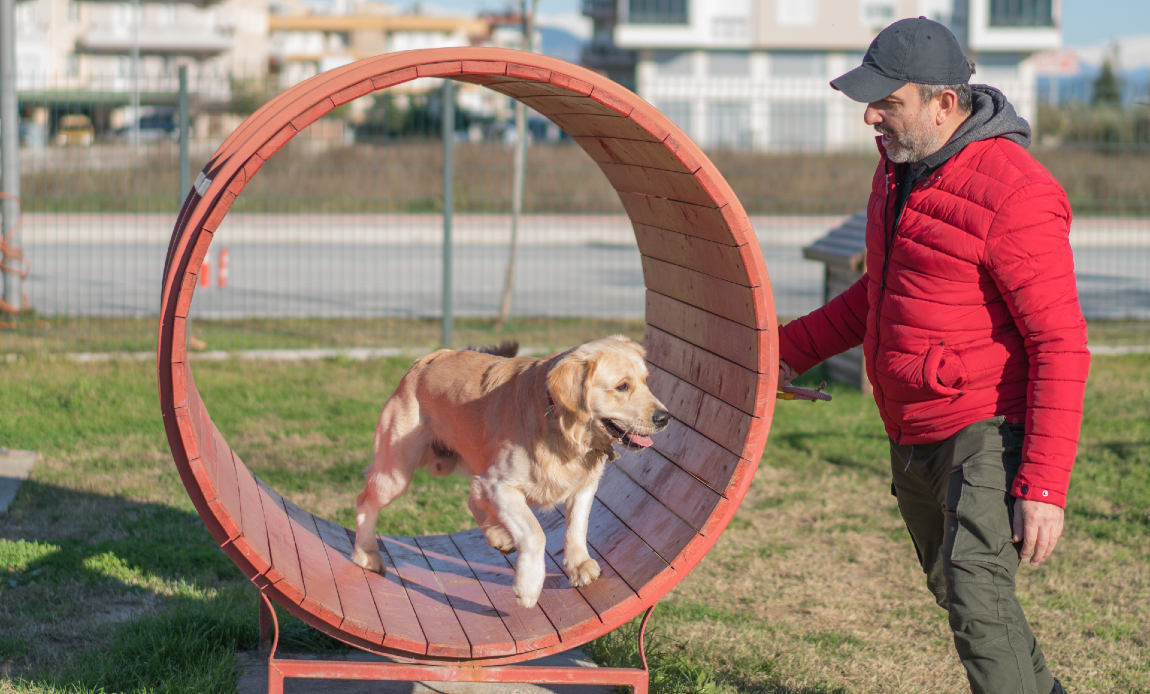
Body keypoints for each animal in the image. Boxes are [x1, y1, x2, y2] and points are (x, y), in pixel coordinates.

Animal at [354, 336, 671, 607]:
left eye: (646, 381)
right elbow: (534, 533)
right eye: (622, 387)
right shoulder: (500, 484)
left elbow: (577, 526)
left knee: (473, 498)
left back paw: (498, 535)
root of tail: (425, 360)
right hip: (396, 473)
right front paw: (529, 586)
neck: (561, 427)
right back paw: (366, 554)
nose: (665, 417)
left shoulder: (584, 485)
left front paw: (578, 564)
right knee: (365, 502)